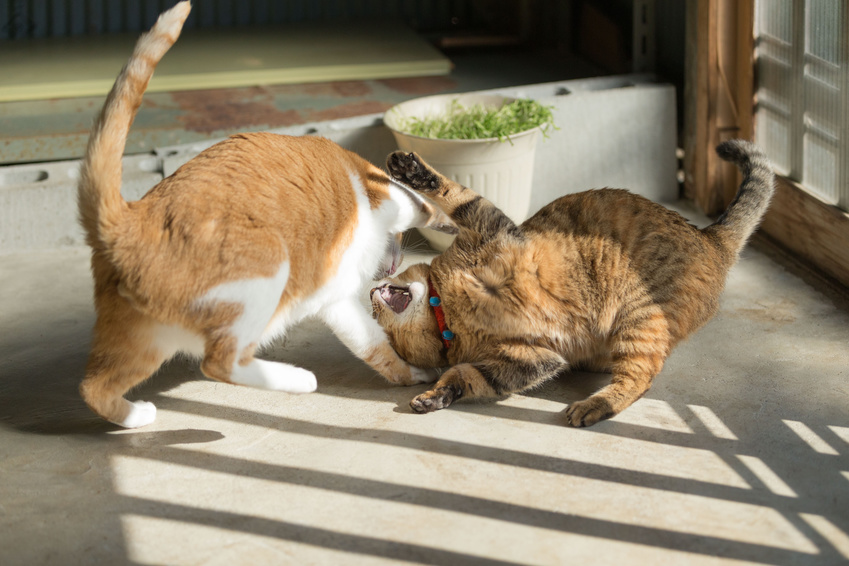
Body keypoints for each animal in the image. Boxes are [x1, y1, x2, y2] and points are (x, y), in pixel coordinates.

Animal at [75, 1, 454, 430]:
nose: (389, 268)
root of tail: (128, 221)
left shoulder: (337, 301)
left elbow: (374, 347)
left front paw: (411, 375)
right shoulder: (390, 200)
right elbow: (424, 207)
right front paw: (448, 219)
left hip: (146, 342)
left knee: (95, 387)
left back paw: (137, 415)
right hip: (268, 262)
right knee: (219, 362)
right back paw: (300, 380)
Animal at [372, 141, 776, 426]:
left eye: (376, 316)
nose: (370, 293)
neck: (452, 314)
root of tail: (710, 237)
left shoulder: (487, 224)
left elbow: (451, 193)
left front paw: (408, 169)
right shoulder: (532, 358)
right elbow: (465, 375)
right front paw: (435, 396)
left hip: (639, 317)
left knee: (639, 379)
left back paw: (593, 406)